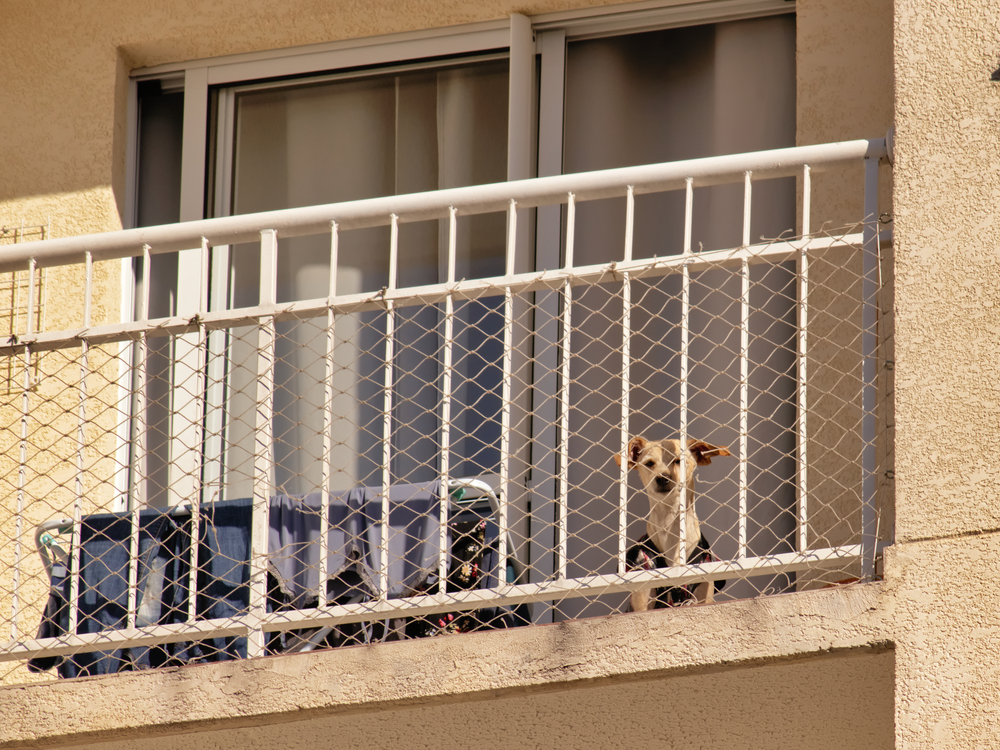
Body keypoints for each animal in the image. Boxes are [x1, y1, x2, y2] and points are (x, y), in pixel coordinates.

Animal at [612, 438, 732, 612]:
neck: (670, 526)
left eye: (678, 461)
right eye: (649, 463)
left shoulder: (703, 593)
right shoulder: (643, 595)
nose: (663, 478)